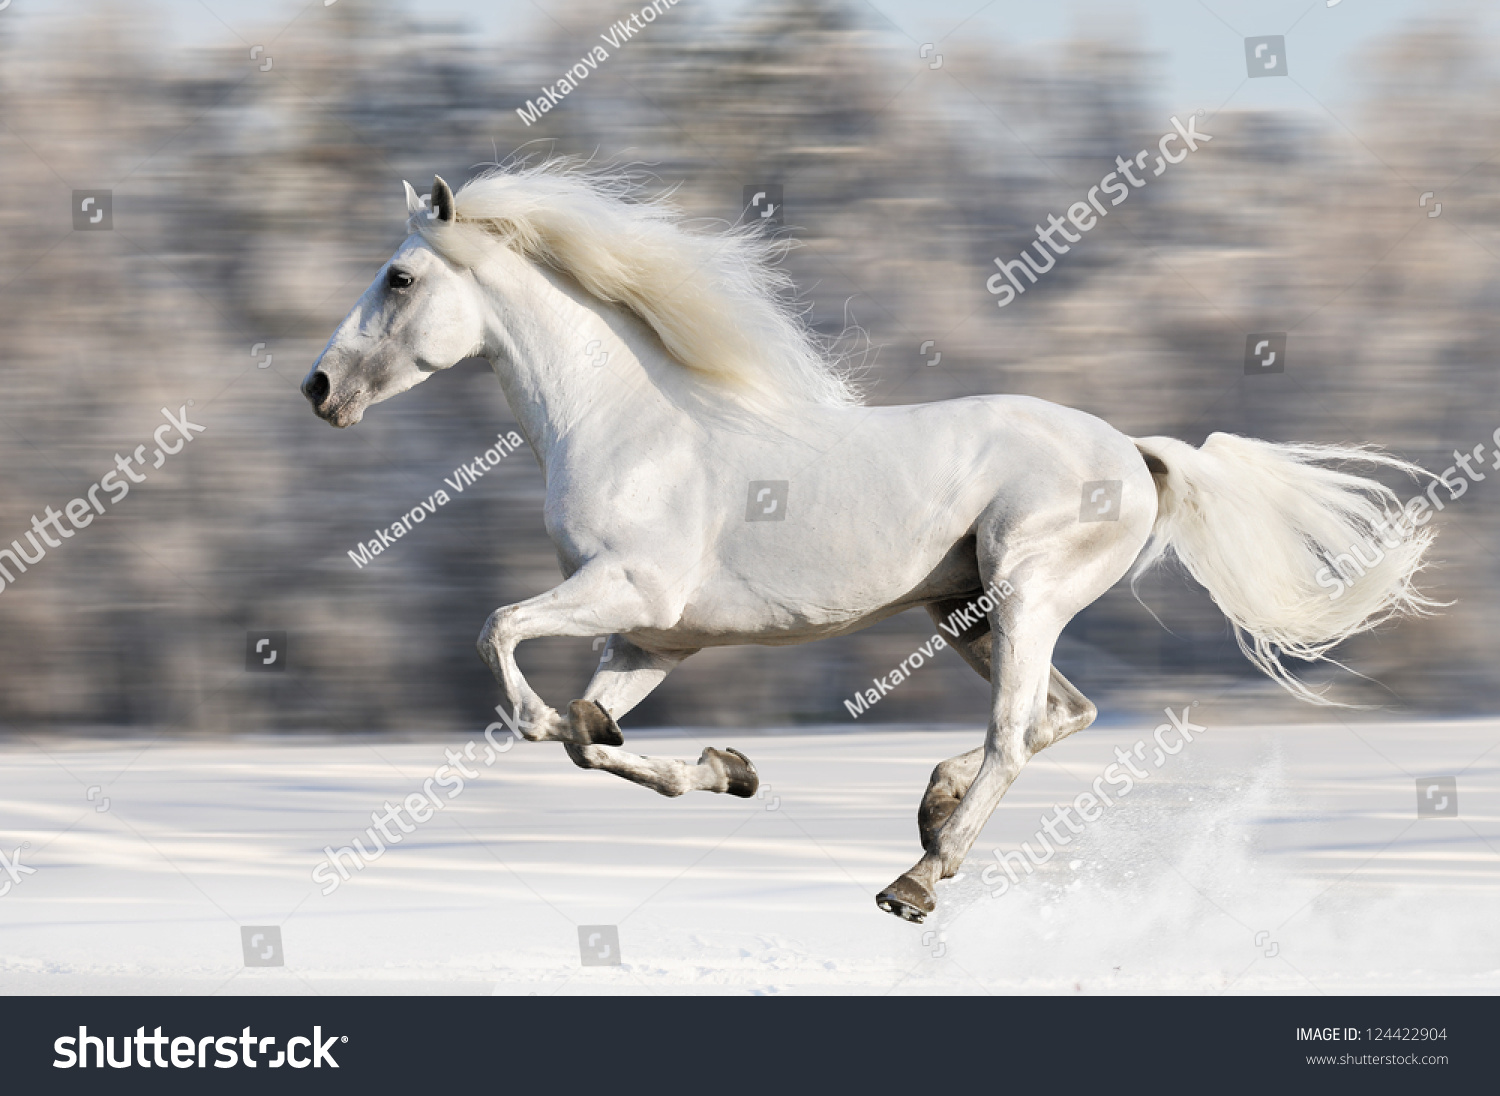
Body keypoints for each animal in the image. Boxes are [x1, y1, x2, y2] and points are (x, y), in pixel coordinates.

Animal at [301, 163, 1437, 923]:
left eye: (399, 278)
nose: (316, 388)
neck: (630, 423)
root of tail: (1137, 453)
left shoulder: (629, 592)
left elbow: (504, 640)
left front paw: (560, 721)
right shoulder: (654, 639)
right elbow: (594, 739)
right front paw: (727, 770)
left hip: (1025, 594)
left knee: (1016, 732)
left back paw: (916, 880)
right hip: (965, 608)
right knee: (1060, 715)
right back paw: (930, 813)